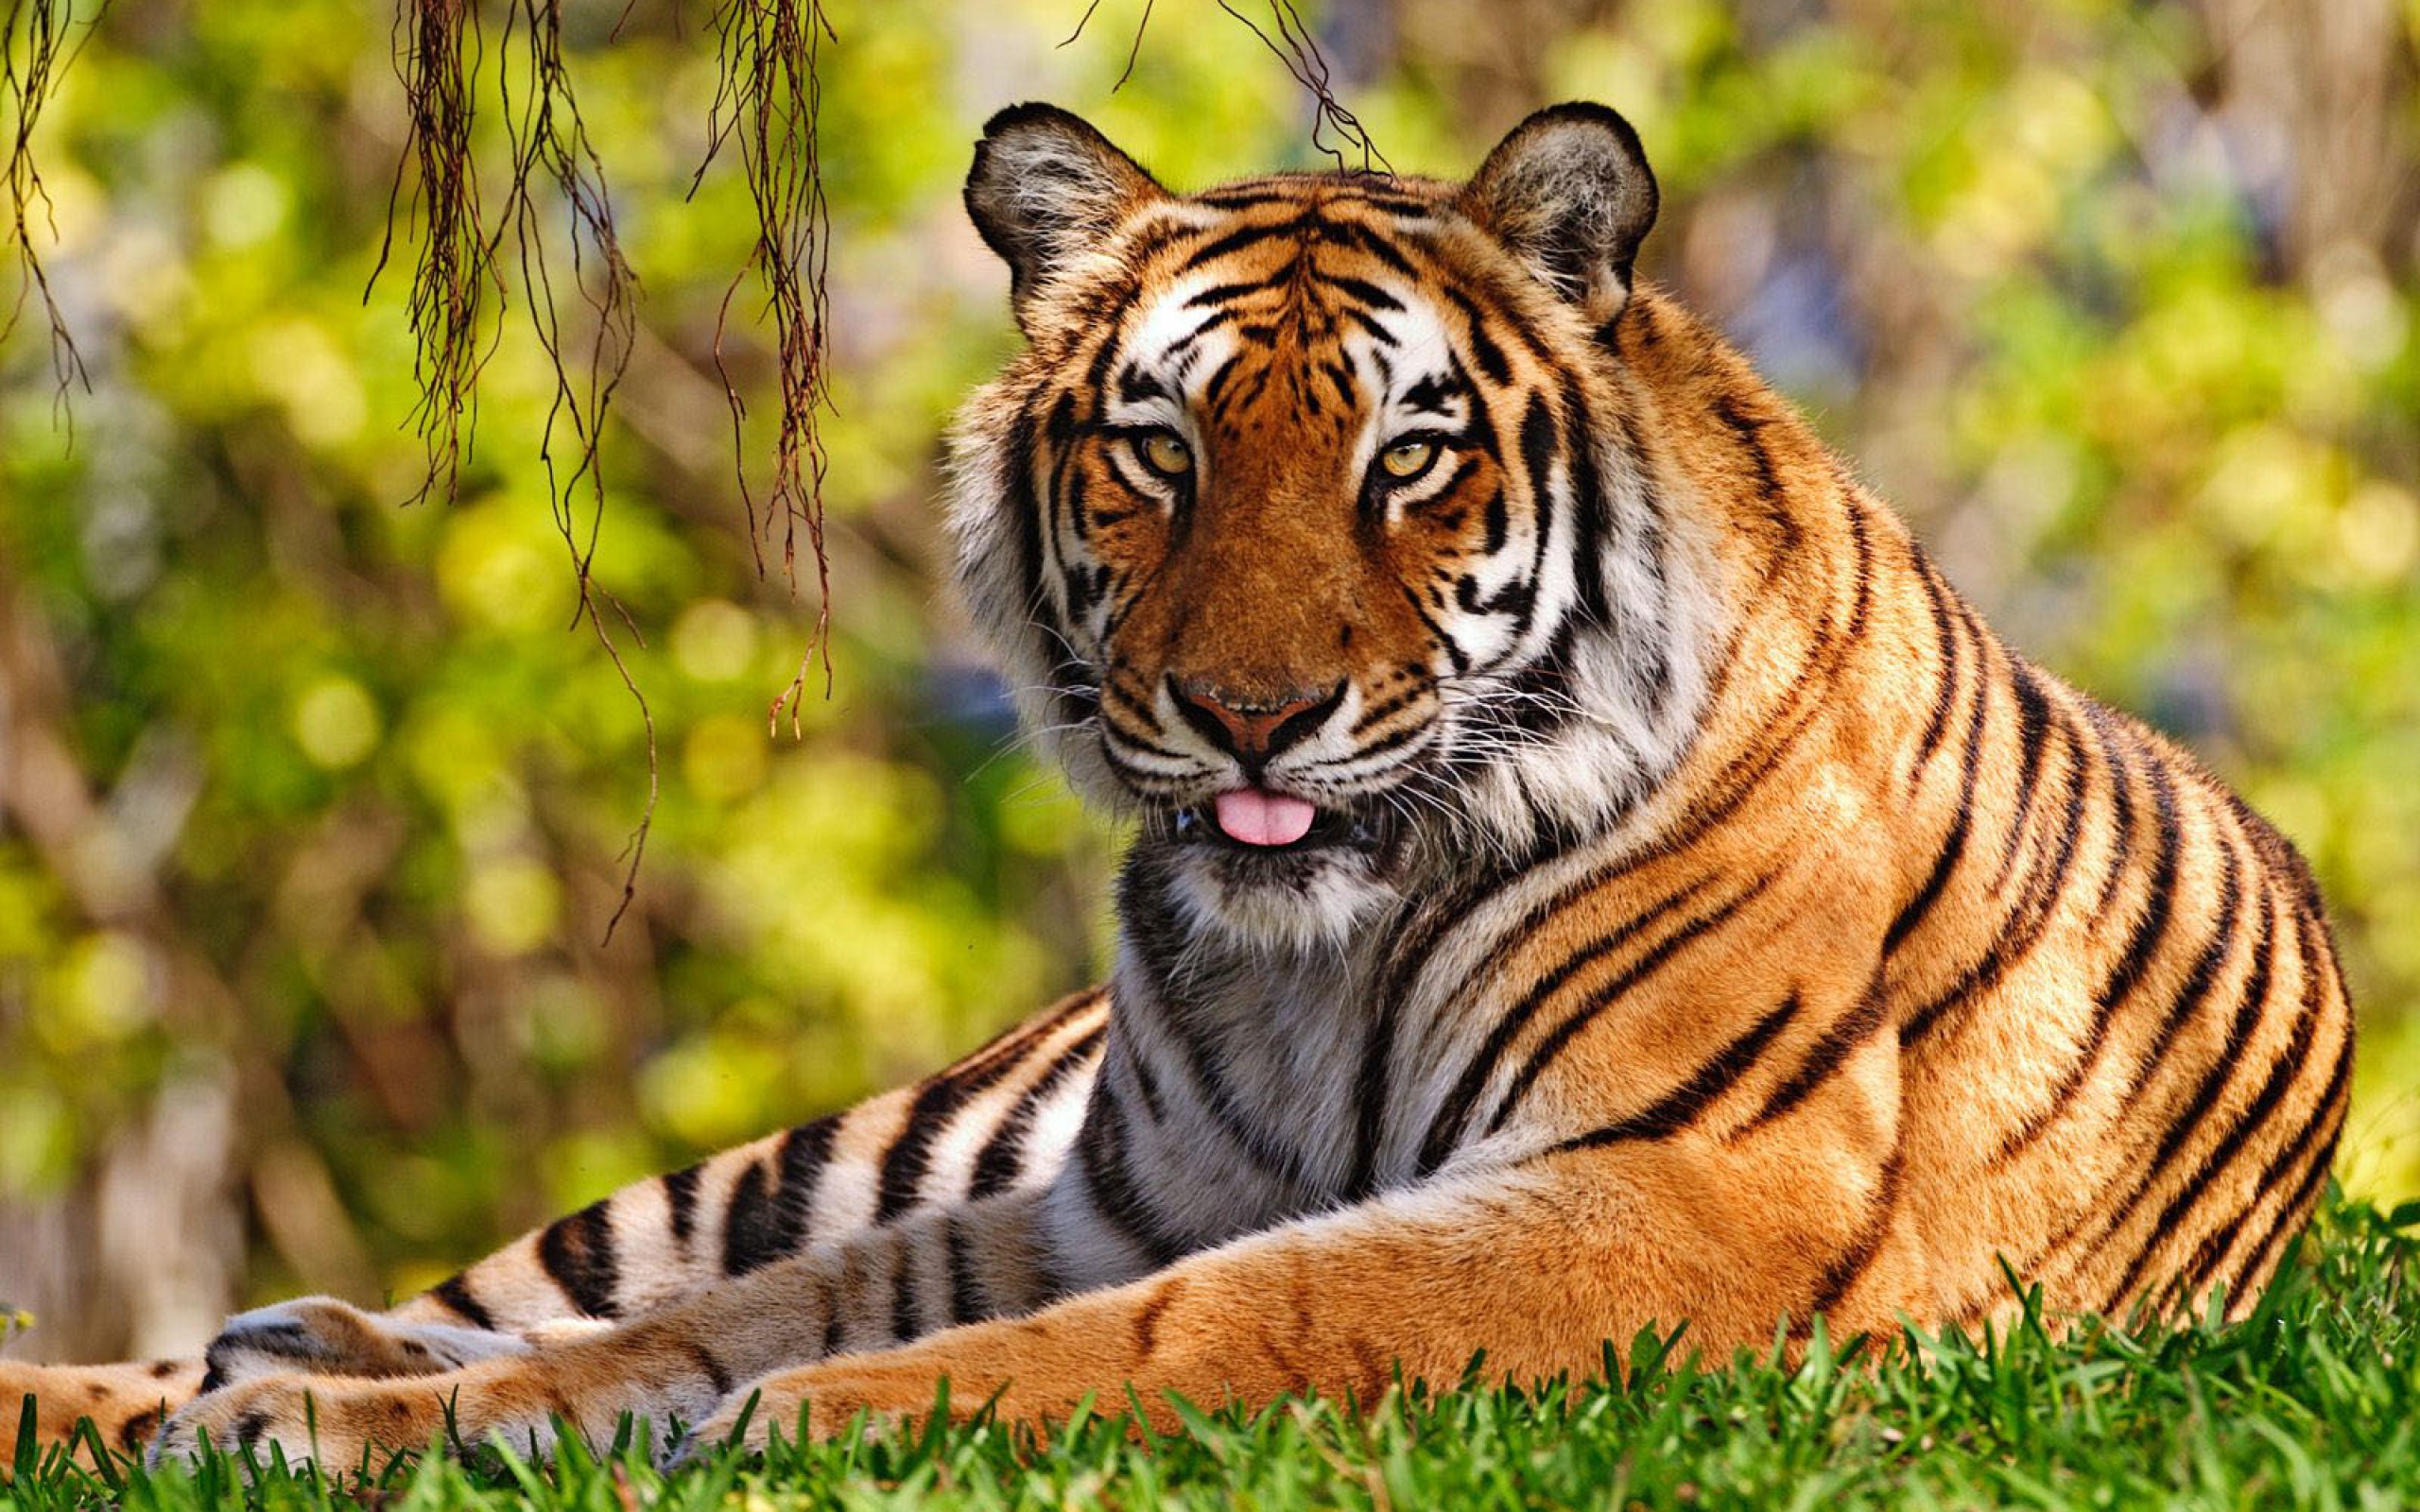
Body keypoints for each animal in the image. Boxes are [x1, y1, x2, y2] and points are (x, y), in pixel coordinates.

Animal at [2, 101, 2352, 1472]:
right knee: (515, 1287)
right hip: (816, 1145)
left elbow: (1216, 1317)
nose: (1247, 714)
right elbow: (717, 1316)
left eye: (1408, 454)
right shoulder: (1105, 1189)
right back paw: (220, 1368)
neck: (1314, 953)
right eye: (1158, 447)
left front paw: (798, 1427)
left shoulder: (1676, 1187)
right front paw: (329, 1418)